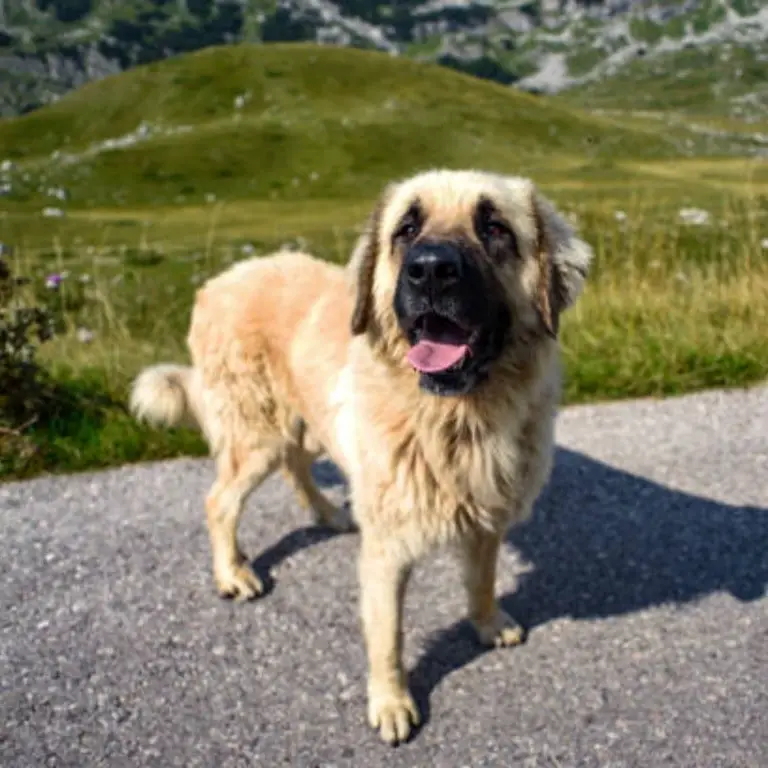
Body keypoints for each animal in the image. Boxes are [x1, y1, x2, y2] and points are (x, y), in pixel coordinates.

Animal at [130, 170, 592, 744]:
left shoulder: (487, 514)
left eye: (495, 227)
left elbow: (481, 579)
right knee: (220, 502)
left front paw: (488, 623)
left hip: (306, 424)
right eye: (406, 228)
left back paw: (330, 514)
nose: (431, 270)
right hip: (259, 436)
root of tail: (216, 284)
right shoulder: (388, 551)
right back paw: (233, 573)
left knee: (297, 467)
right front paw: (392, 704)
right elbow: (388, 636)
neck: (456, 421)